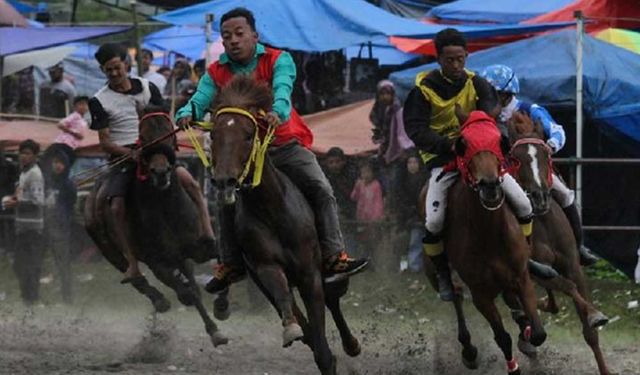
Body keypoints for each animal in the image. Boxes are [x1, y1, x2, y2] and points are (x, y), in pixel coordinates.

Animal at [209, 76, 360, 375]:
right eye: (214, 136)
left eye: (248, 134)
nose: (224, 182)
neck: (272, 210)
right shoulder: (266, 268)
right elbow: (285, 301)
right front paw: (292, 330)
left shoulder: (309, 274)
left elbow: (321, 324)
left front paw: (329, 356)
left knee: (333, 299)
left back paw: (351, 344)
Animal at [424, 111, 552, 375]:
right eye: (463, 144)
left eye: (499, 142)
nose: (490, 185)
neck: (488, 231)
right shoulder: (480, 293)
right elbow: (502, 337)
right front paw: (513, 366)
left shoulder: (521, 277)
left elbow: (538, 333)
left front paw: (527, 332)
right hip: (435, 268)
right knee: (455, 296)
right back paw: (468, 349)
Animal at [504, 112, 608, 375]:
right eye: (515, 159)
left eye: (545, 155)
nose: (539, 196)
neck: (543, 222)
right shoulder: (533, 271)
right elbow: (565, 287)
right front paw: (593, 313)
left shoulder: (572, 264)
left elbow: (590, 333)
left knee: (547, 302)